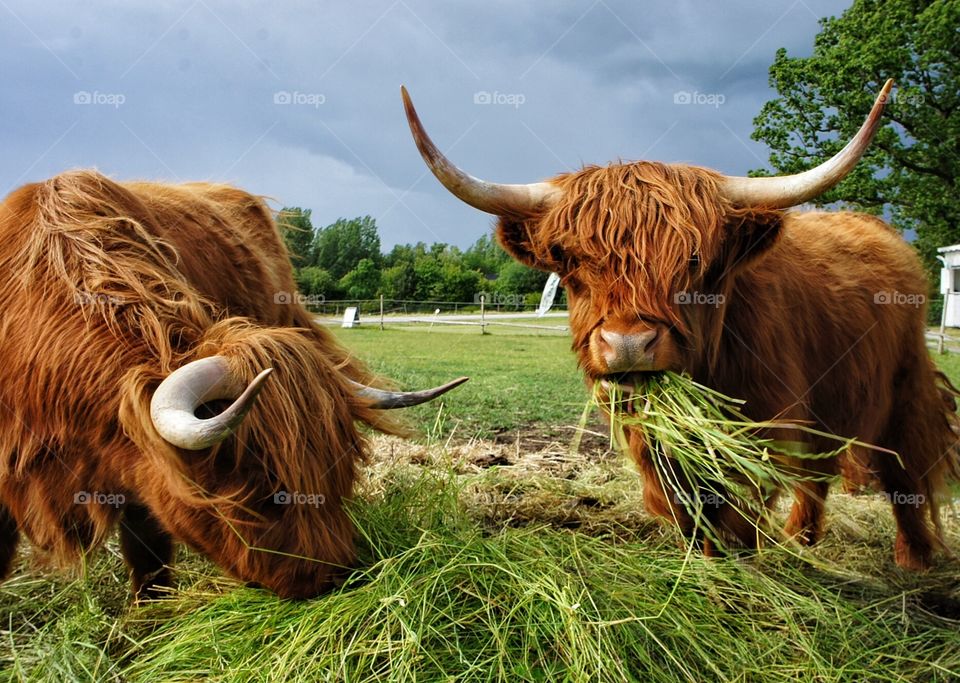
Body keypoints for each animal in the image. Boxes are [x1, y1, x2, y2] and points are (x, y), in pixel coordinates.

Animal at [404, 81, 960, 572]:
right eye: (572, 262)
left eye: (694, 261)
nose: (628, 345)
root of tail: (877, 230)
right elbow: (692, 511)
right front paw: (700, 568)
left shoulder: (764, 424)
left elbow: (737, 512)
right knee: (818, 473)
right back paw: (799, 540)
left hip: (904, 383)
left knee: (906, 468)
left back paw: (913, 560)